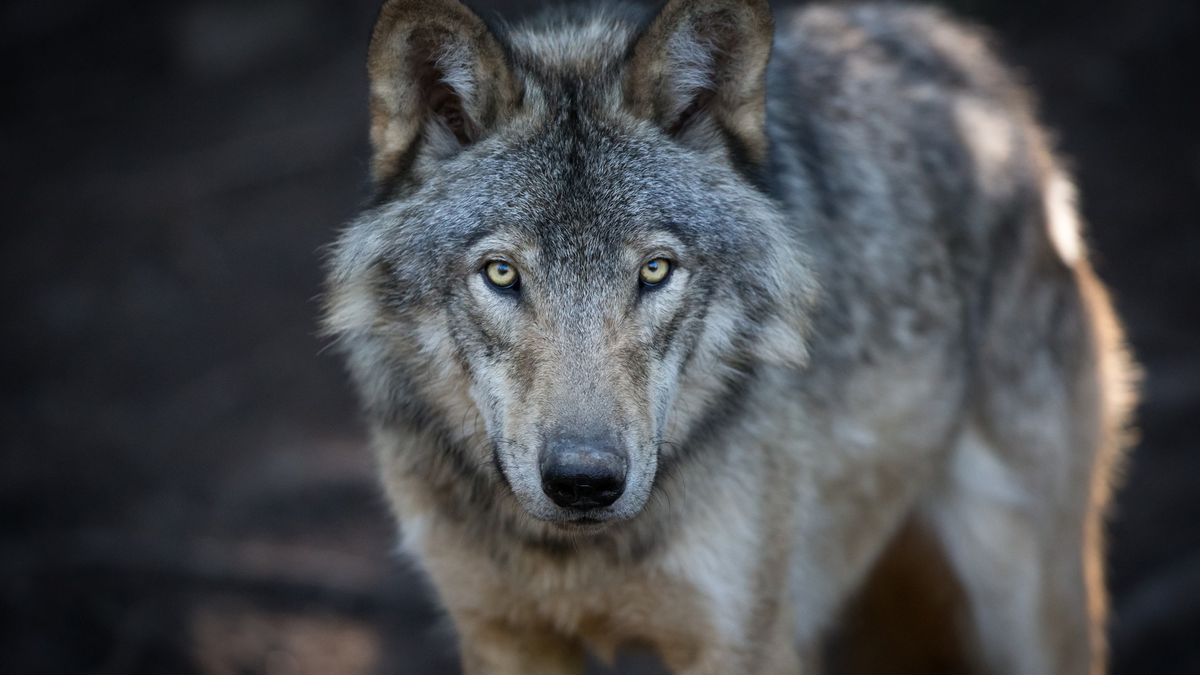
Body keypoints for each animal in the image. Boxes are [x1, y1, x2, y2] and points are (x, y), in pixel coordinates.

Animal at [323, 0, 1137, 672]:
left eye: (655, 270)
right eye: (500, 273)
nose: (584, 481)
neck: (576, 553)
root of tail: (966, 57)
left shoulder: (741, 639)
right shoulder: (504, 635)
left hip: (1026, 601)